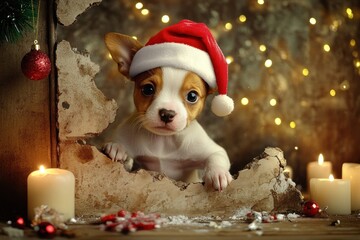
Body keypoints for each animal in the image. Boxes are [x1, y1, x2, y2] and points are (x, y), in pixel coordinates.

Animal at [102, 20, 235, 191]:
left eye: (192, 96)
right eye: (148, 89)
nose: (167, 113)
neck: (163, 141)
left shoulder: (212, 150)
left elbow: (216, 157)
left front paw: (218, 173)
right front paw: (117, 148)